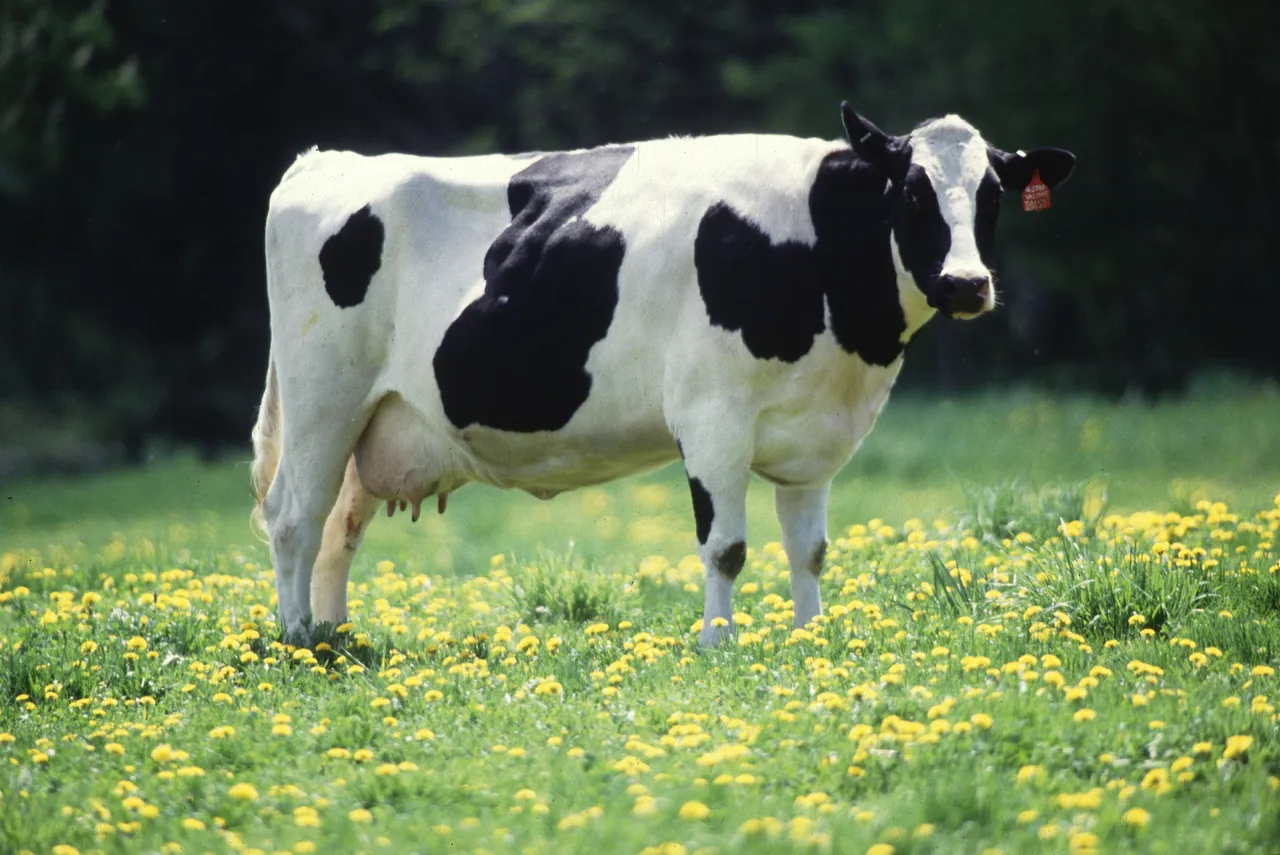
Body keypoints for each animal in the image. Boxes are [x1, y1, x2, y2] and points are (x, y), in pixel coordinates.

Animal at [250, 103, 1075, 646]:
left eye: (993, 195)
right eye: (911, 191)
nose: (967, 283)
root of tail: (324, 160)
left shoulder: (815, 436)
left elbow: (808, 548)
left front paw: (811, 636)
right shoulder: (713, 416)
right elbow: (727, 546)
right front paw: (718, 643)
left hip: (375, 419)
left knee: (339, 526)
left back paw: (335, 634)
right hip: (323, 396)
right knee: (294, 516)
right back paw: (298, 640)